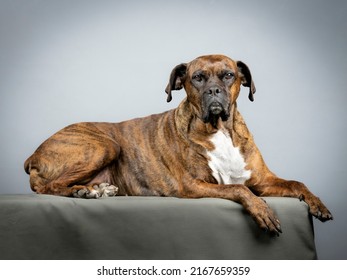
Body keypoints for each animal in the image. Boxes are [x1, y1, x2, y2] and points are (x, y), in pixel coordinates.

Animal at [25, 54, 334, 234]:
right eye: (197, 78)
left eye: (229, 75)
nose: (213, 91)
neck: (220, 130)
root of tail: (33, 155)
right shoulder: (195, 185)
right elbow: (238, 189)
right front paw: (262, 210)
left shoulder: (263, 180)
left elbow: (296, 183)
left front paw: (317, 204)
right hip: (105, 145)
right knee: (48, 186)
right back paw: (81, 191)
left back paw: (97, 189)